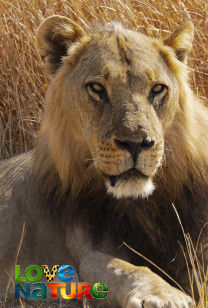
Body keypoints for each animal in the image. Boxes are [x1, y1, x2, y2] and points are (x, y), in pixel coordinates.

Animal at [0, 16, 208, 308]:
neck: (140, 206)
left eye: (157, 89)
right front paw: (165, 296)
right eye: (97, 88)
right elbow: (126, 269)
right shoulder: (85, 250)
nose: (136, 143)